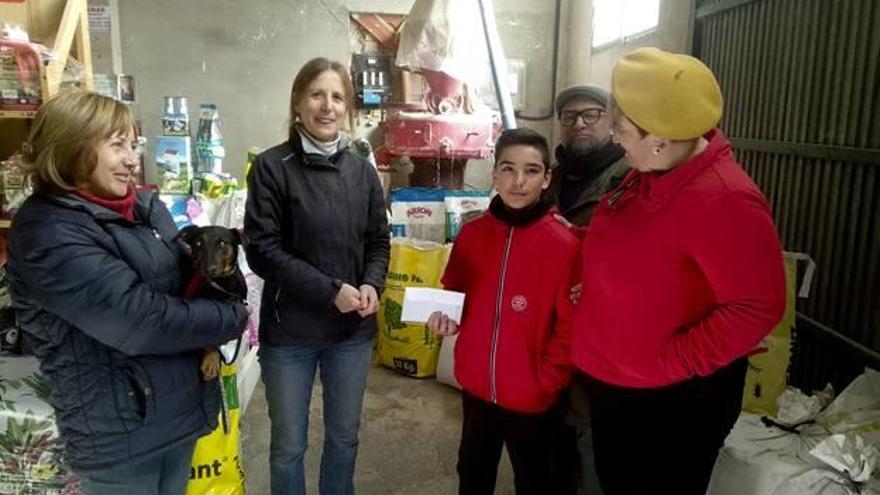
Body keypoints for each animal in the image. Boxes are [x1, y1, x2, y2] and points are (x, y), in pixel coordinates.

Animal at [176, 227, 248, 382]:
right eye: (198, 243)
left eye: (221, 243)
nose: (208, 269)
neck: (220, 283)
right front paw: (211, 359)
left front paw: (211, 360)